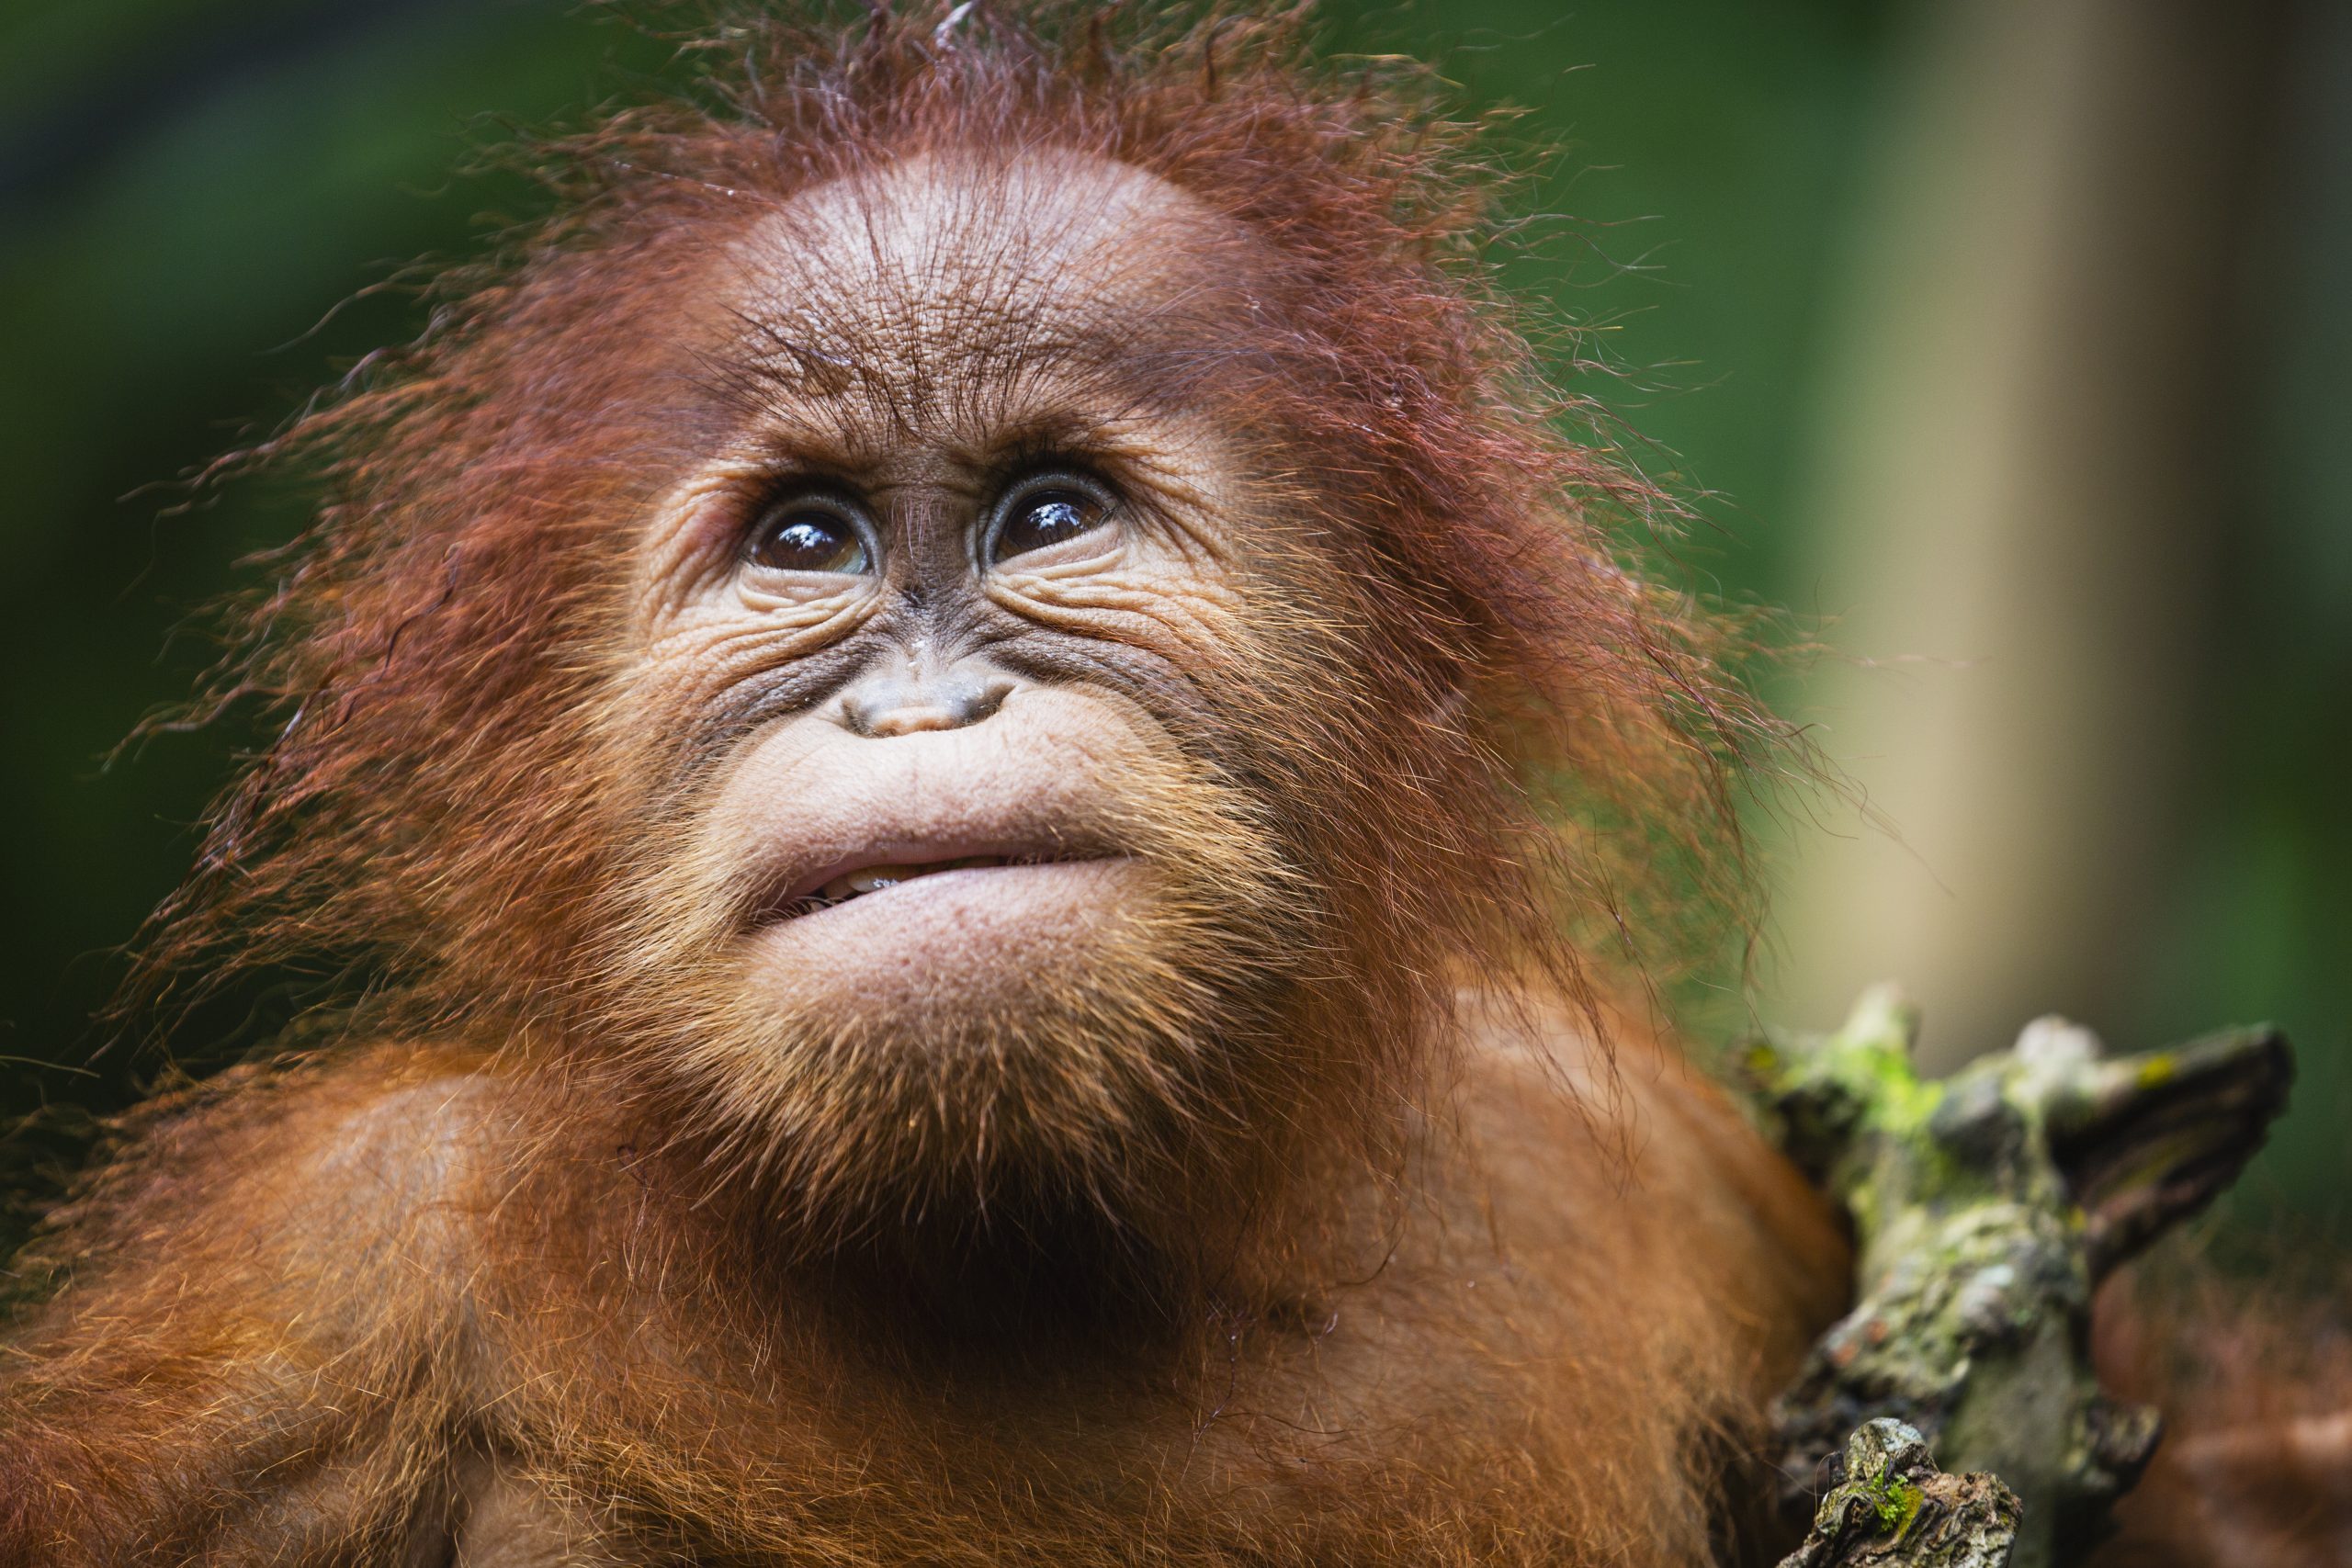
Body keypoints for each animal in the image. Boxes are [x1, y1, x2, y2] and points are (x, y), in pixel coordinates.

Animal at [17, 3, 2261, 1563]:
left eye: (1048, 512)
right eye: (809, 542)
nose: (919, 714)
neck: (1045, 1256)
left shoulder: (1655, 1172)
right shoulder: (325, 1281)